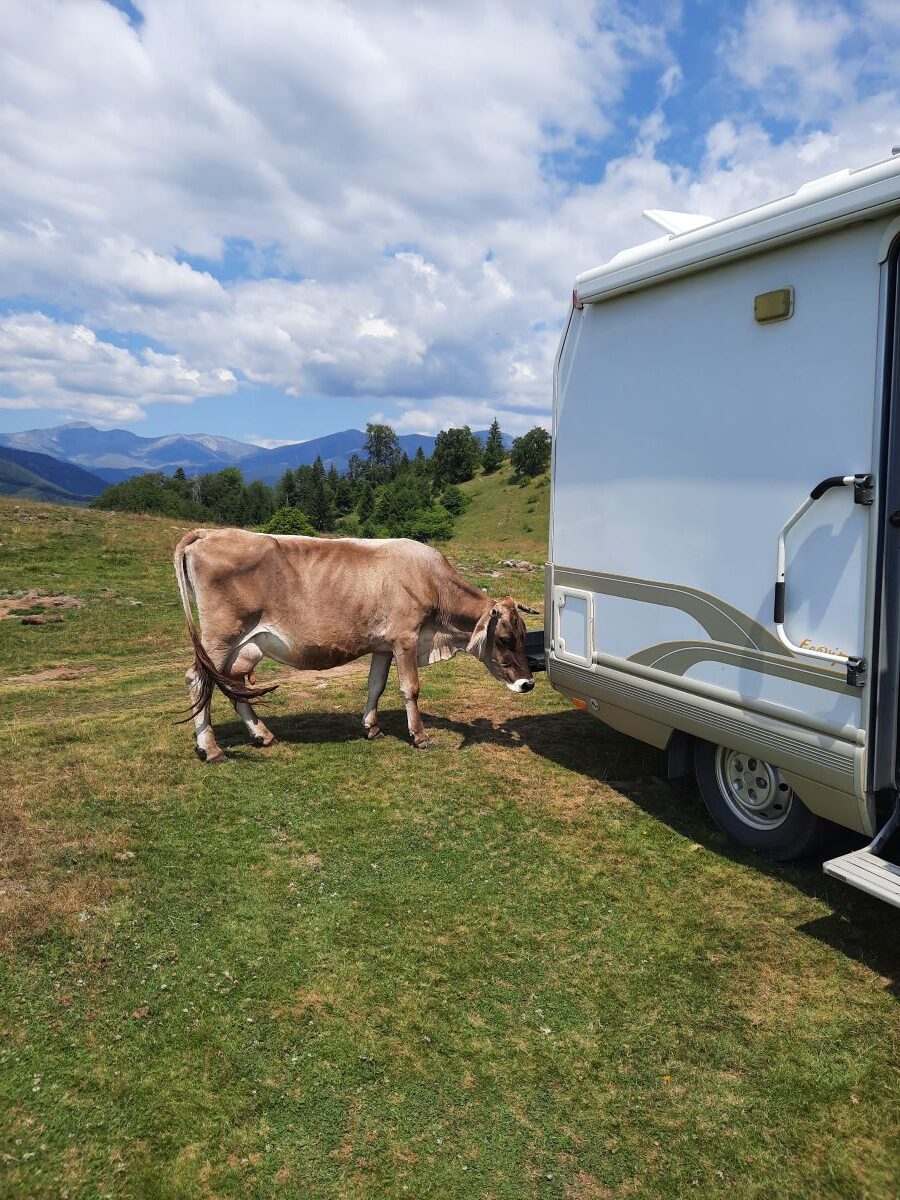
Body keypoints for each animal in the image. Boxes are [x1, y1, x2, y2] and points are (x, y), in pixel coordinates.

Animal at [176, 532, 535, 763]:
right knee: (197, 679)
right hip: (220, 636)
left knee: (231, 684)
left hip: (243, 645)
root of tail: (210, 533)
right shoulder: (405, 637)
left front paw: (371, 727)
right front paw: (420, 736)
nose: (528, 683)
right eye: (504, 639)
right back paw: (211, 749)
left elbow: (376, 685)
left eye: (523, 634)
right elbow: (410, 688)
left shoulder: (383, 646)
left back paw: (262, 734)